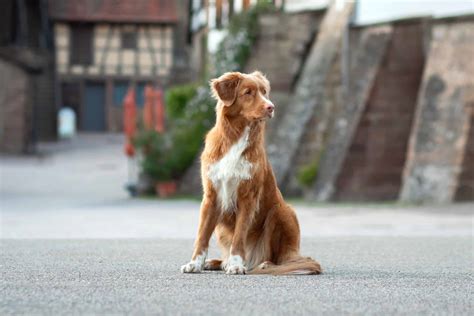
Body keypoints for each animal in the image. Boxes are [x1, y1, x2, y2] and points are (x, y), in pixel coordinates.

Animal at [181, 71, 322, 274]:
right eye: (248, 92)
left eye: (264, 92)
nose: (271, 107)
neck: (236, 137)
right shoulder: (211, 196)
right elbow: (202, 235)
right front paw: (195, 263)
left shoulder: (248, 197)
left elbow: (239, 235)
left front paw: (236, 264)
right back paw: (217, 262)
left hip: (282, 211)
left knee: (281, 259)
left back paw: (261, 264)